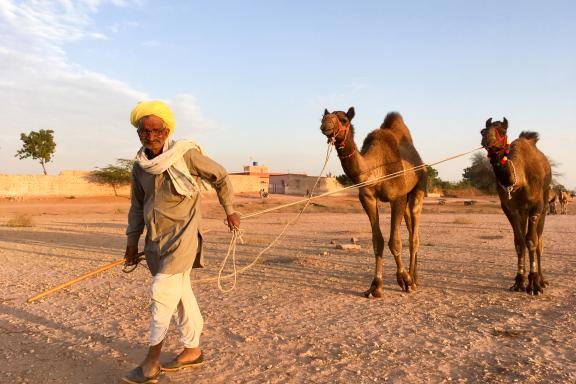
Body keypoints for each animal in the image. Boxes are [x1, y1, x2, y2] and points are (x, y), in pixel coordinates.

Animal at [320, 106, 428, 298]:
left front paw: (404, 280)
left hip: (419, 187)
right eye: (323, 117)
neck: (376, 169)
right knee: (410, 230)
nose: (326, 123)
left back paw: (413, 280)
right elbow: (377, 241)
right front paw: (376, 286)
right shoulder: (367, 198)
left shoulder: (397, 197)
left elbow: (394, 242)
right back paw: (414, 276)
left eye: (343, 119)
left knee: (414, 237)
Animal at [480, 117, 552, 294]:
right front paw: (519, 282)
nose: (486, 138)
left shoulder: (536, 205)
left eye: (502, 130)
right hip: (523, 210)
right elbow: (519, 242)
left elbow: (532, 241)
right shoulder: (509, 208)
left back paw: (542, 280)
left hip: (545, 198)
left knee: (539, 239)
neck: (520, 179)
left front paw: (534, 285)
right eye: (482, 130)